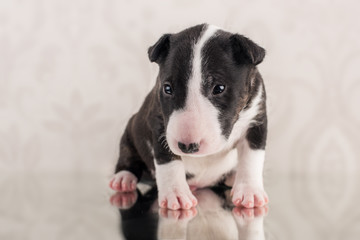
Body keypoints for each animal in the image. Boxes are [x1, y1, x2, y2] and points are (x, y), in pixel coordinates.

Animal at [108, 23, 268, 210]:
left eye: (219, 88)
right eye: (167, 88)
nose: (187, 146)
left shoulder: (256, 121)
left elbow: (252, 157)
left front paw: (250, 191)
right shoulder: (159, 123)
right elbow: (168, 160)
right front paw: (176, 194)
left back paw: (232, 177)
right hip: (131, 130)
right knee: (128, 156)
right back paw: (124, 178)